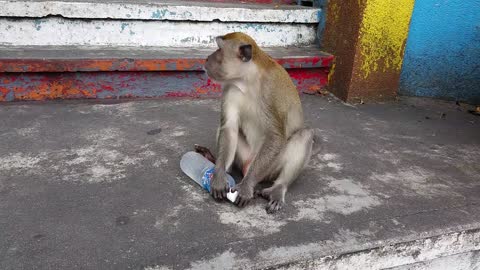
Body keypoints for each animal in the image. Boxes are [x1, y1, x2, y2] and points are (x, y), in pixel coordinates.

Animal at [193, 32, 320, 213]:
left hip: (269, 168)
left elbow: (275, 136)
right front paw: (219, 176)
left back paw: (278, 188)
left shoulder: (270, 90)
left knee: (305, 135)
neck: (247, 81)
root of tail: (248, 165)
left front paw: (246, 186)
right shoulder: (231, 88)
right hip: (245, 157)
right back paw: (215, 161)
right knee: (225, 129)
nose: (207, 58)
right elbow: (229, 128)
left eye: (219, 49)